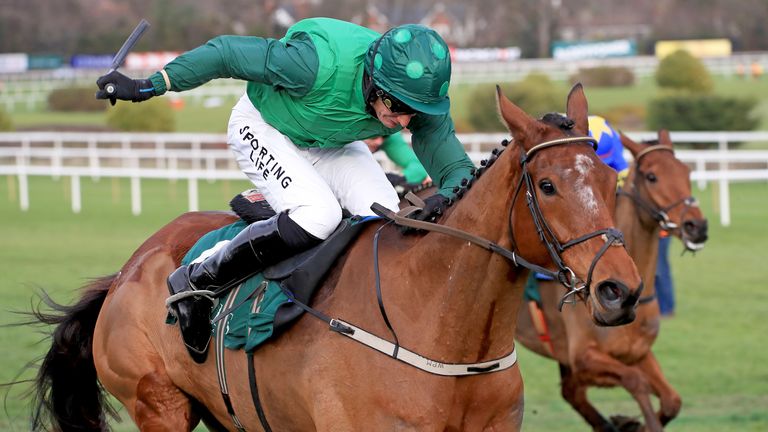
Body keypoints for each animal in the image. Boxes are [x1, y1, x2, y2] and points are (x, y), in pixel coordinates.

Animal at [30, 84, 640, 432]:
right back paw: (193, 286)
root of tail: (130, 270)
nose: (620, 290)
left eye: (609, 178)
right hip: (159, 405)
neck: (440, 324)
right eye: (548, 185)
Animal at [516, 130, 708, 430]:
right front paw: (633, 422)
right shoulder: (584, 357)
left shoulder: (637, 352)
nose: (697, 226)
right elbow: (634, 381)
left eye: (686, 172)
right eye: (652, 176)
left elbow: (671, 400)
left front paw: (629, 422)